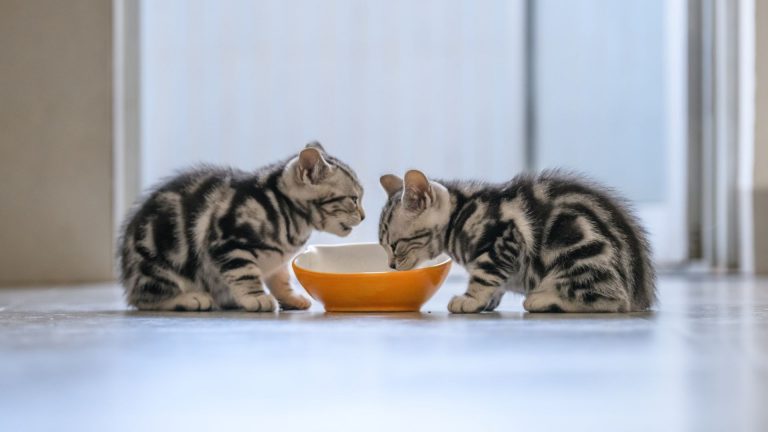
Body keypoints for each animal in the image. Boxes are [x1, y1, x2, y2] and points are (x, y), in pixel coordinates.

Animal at [118, 143, 364, 312]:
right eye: (353, 199)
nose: (363, 216)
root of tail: (128, 275)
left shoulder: (277, 261)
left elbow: (281, 280)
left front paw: (291, 297)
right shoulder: (229, 243)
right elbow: (246, 273)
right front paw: (257, 297)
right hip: (160, 266)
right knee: (144, 298)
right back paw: (190, 298)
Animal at [378, 169, 656, 314]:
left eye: (395, 245)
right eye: (384, 247)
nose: (390, 265)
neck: (460, 214)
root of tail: (640, 295)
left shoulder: (502, 240)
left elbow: (484, 276)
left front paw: (471, 299)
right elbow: (496, 282)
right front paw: (488, 301)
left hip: (576, 251)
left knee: (609, 300)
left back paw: (543, 299)